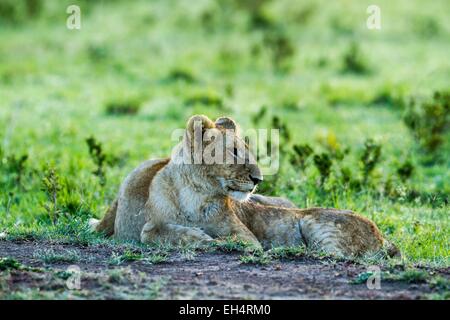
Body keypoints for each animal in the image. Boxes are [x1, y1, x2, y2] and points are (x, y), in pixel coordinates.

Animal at [89, 114, 400, 258]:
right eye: (236, 152)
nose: (259, 179)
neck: (197, 193)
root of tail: (384, 237)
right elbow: (152, 231)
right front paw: (194, 235)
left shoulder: (247, 238)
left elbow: (227, 241)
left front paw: (203, 238)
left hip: (313, 222)